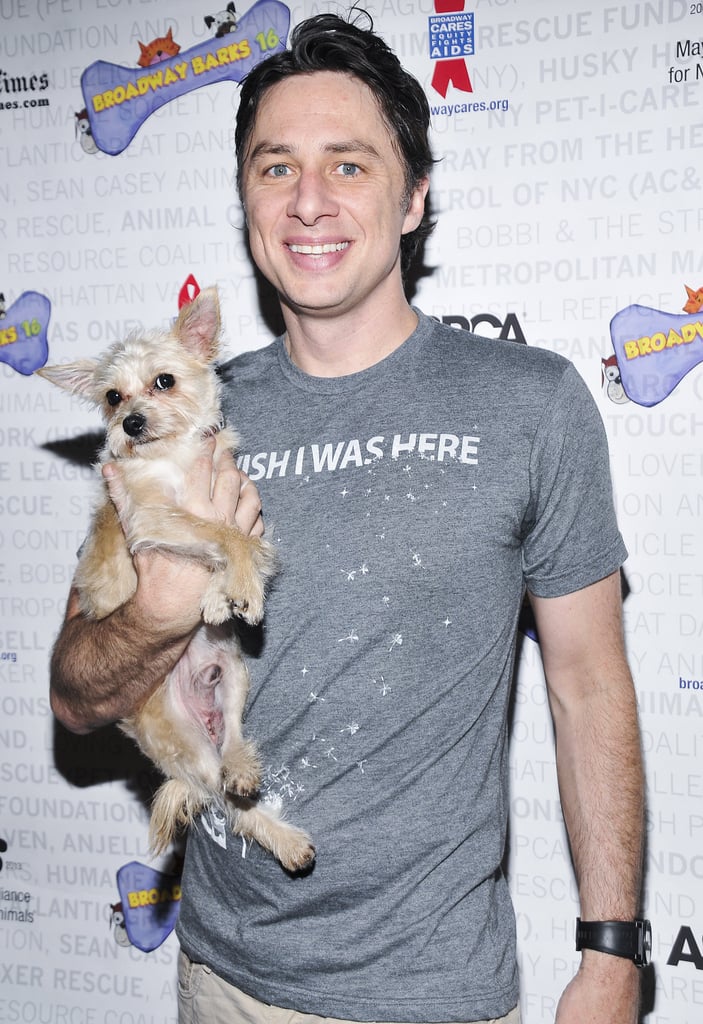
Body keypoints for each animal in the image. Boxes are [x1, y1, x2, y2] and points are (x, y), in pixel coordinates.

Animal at [37, 288, 313, 872]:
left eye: (163, 381)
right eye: (113, 397)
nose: (131, 423)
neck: (175, 458)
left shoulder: (241, 505)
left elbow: (240, 543)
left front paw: (226, 596)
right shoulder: (151, 520)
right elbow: (218, 534)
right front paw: (235, 590)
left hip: (233, 681)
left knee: (232, 748)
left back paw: (245, 769)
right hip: (184, 745)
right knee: (226, 802)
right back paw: (282, 837)